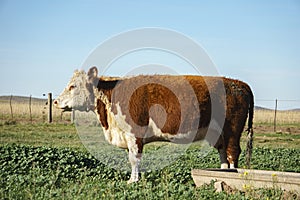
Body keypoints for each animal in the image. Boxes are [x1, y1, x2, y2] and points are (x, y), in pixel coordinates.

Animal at [53, 66, 253, 184]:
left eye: (73, 86)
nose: (55, 101)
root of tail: (238, 83)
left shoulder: (134, 134)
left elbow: (134, 159)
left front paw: (133, 181)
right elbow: (132, 159)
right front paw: (133, 179)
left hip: (232, 130)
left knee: (232, 153)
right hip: (220, 134)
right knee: (223, 154)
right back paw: (222, 174)